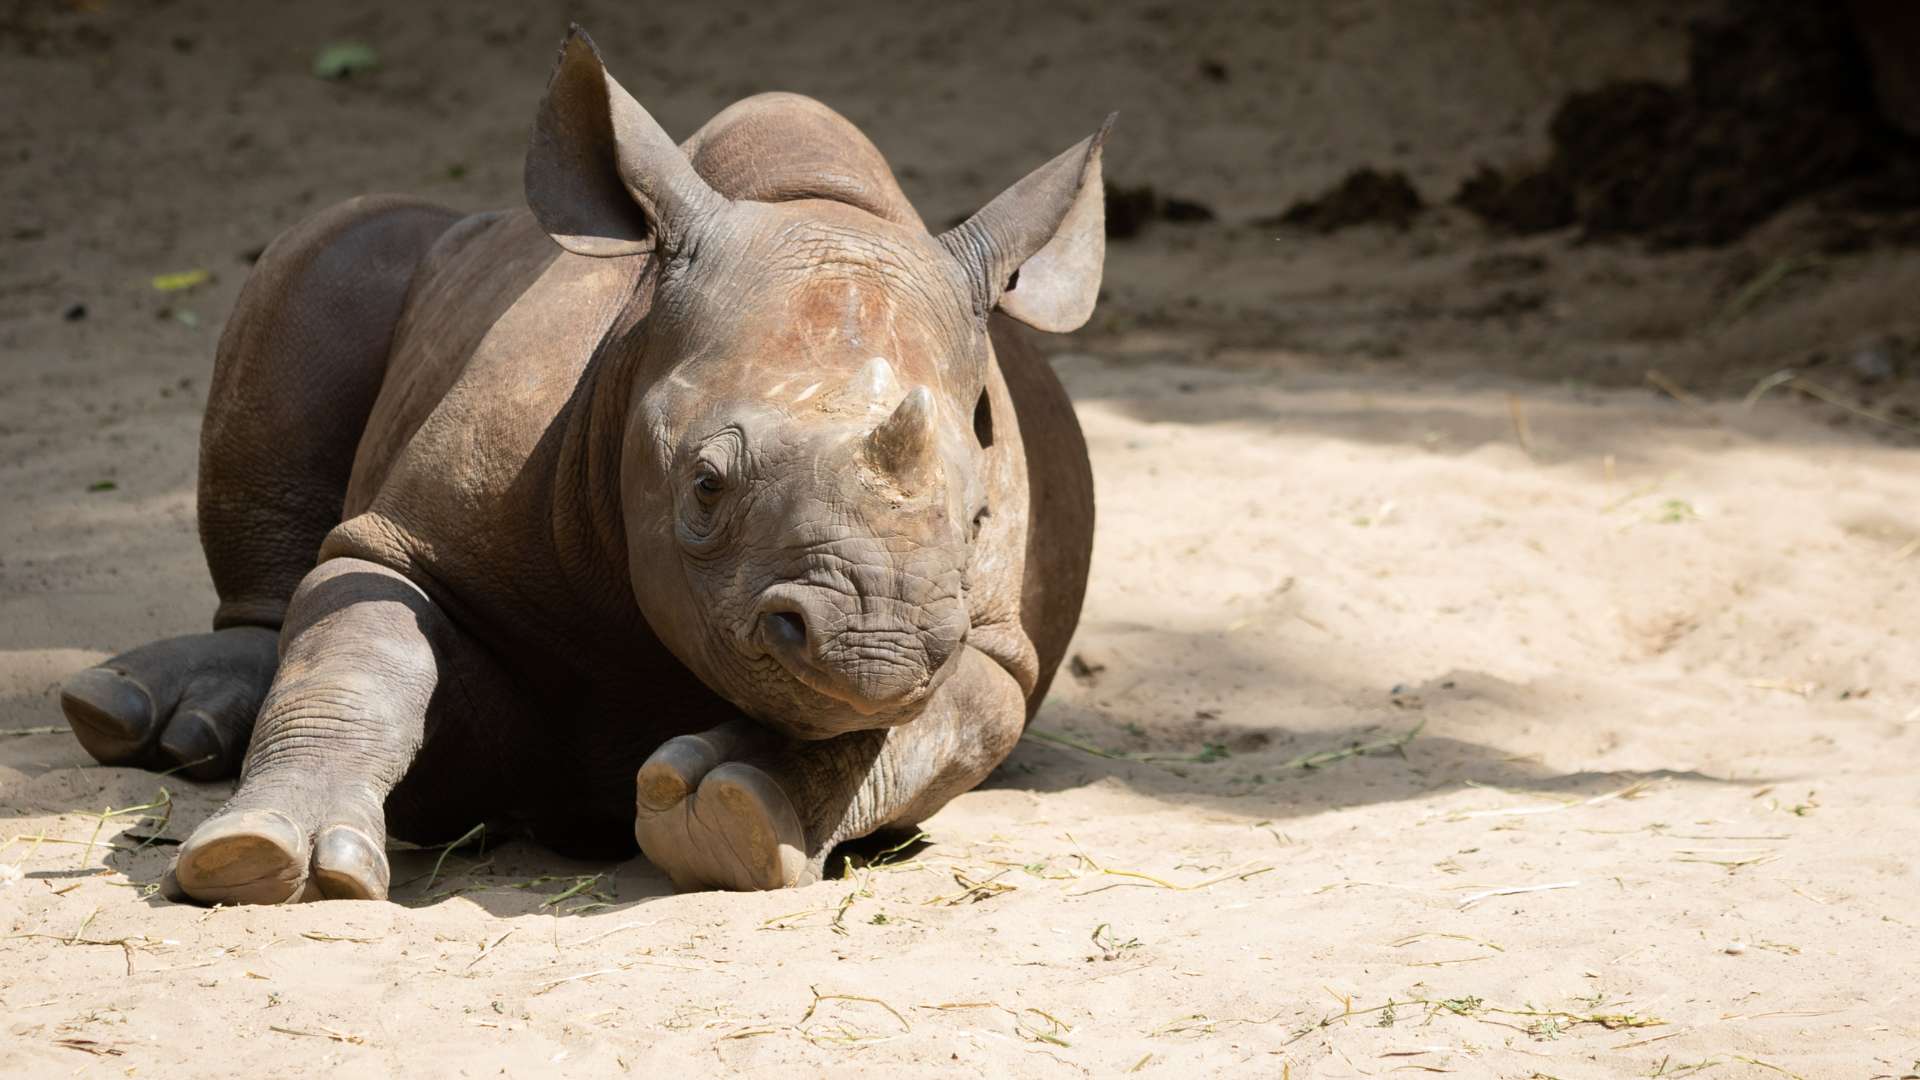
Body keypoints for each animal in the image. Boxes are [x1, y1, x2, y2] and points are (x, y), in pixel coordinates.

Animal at [56, 27, 1098, 899]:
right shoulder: (409, 538)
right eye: (705, 487)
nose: (873, 644)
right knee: (328, 250)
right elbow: (364, 644)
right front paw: (266, 857)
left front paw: (736, 816)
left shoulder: (988, 646)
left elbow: (924, 729)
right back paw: (144, 718)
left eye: (979, 521)